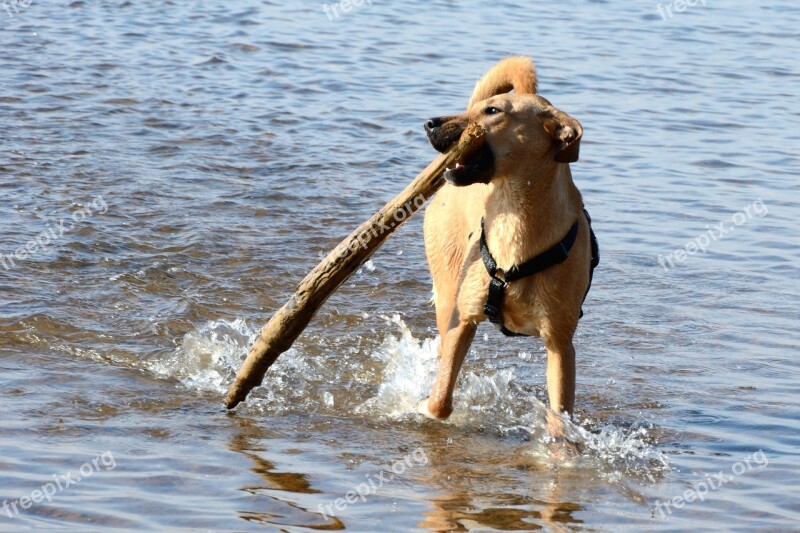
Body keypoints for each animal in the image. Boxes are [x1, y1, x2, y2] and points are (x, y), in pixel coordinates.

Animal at [418, 57, 592, 444]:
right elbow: (441, 400)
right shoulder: (462, 319)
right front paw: (427, 408)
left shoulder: (560, 344)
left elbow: (559, 420)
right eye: (480, 108)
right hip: (447, 291)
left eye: (493, 111)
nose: (429, 123)